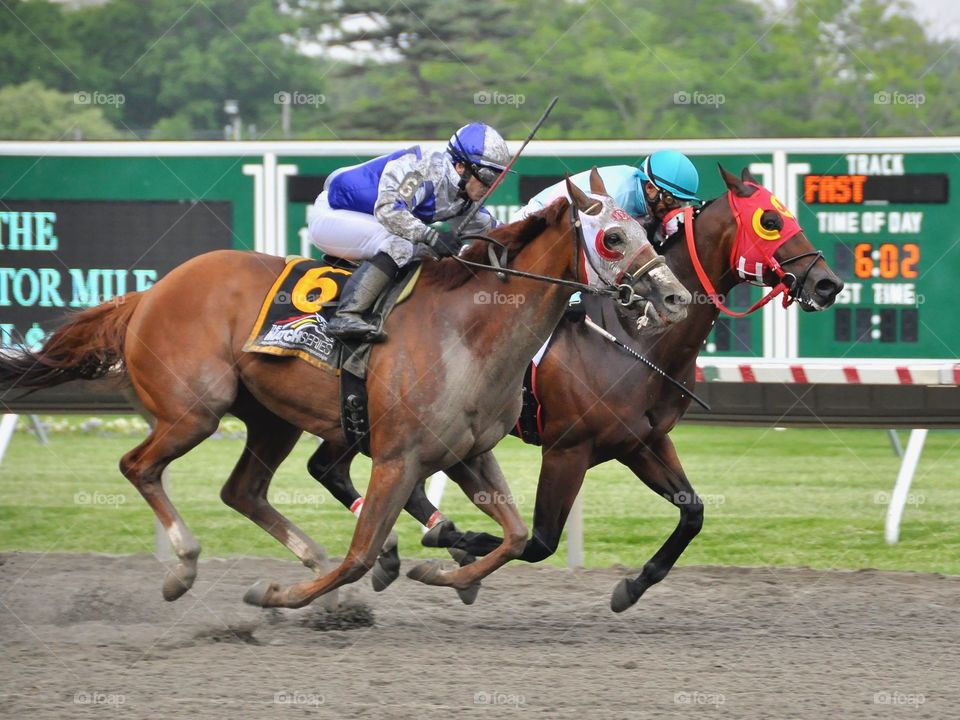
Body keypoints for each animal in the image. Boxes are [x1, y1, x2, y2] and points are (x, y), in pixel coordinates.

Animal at [0, 173, 688, 608]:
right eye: (614, 237)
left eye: (645, 228)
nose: (676, 296)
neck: (469, 331)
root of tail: (148, 292)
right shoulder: (399, 458)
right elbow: (359, 556)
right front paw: (277, 595)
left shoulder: (468, 453)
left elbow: (518, 537)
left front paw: (442, 571)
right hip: (195, 410)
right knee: (138, 465)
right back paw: (186, 565)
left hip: (271, 419)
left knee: (241, 490)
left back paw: (307, 556)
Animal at [306, 166, 840, 612]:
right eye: (770, 220)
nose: (827, 282)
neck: (635, 338)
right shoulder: (568, 448)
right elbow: (538, 540)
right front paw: (459, 555)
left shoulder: (642, 441)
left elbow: (693, 513)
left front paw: (631, 587)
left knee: (330, 469)